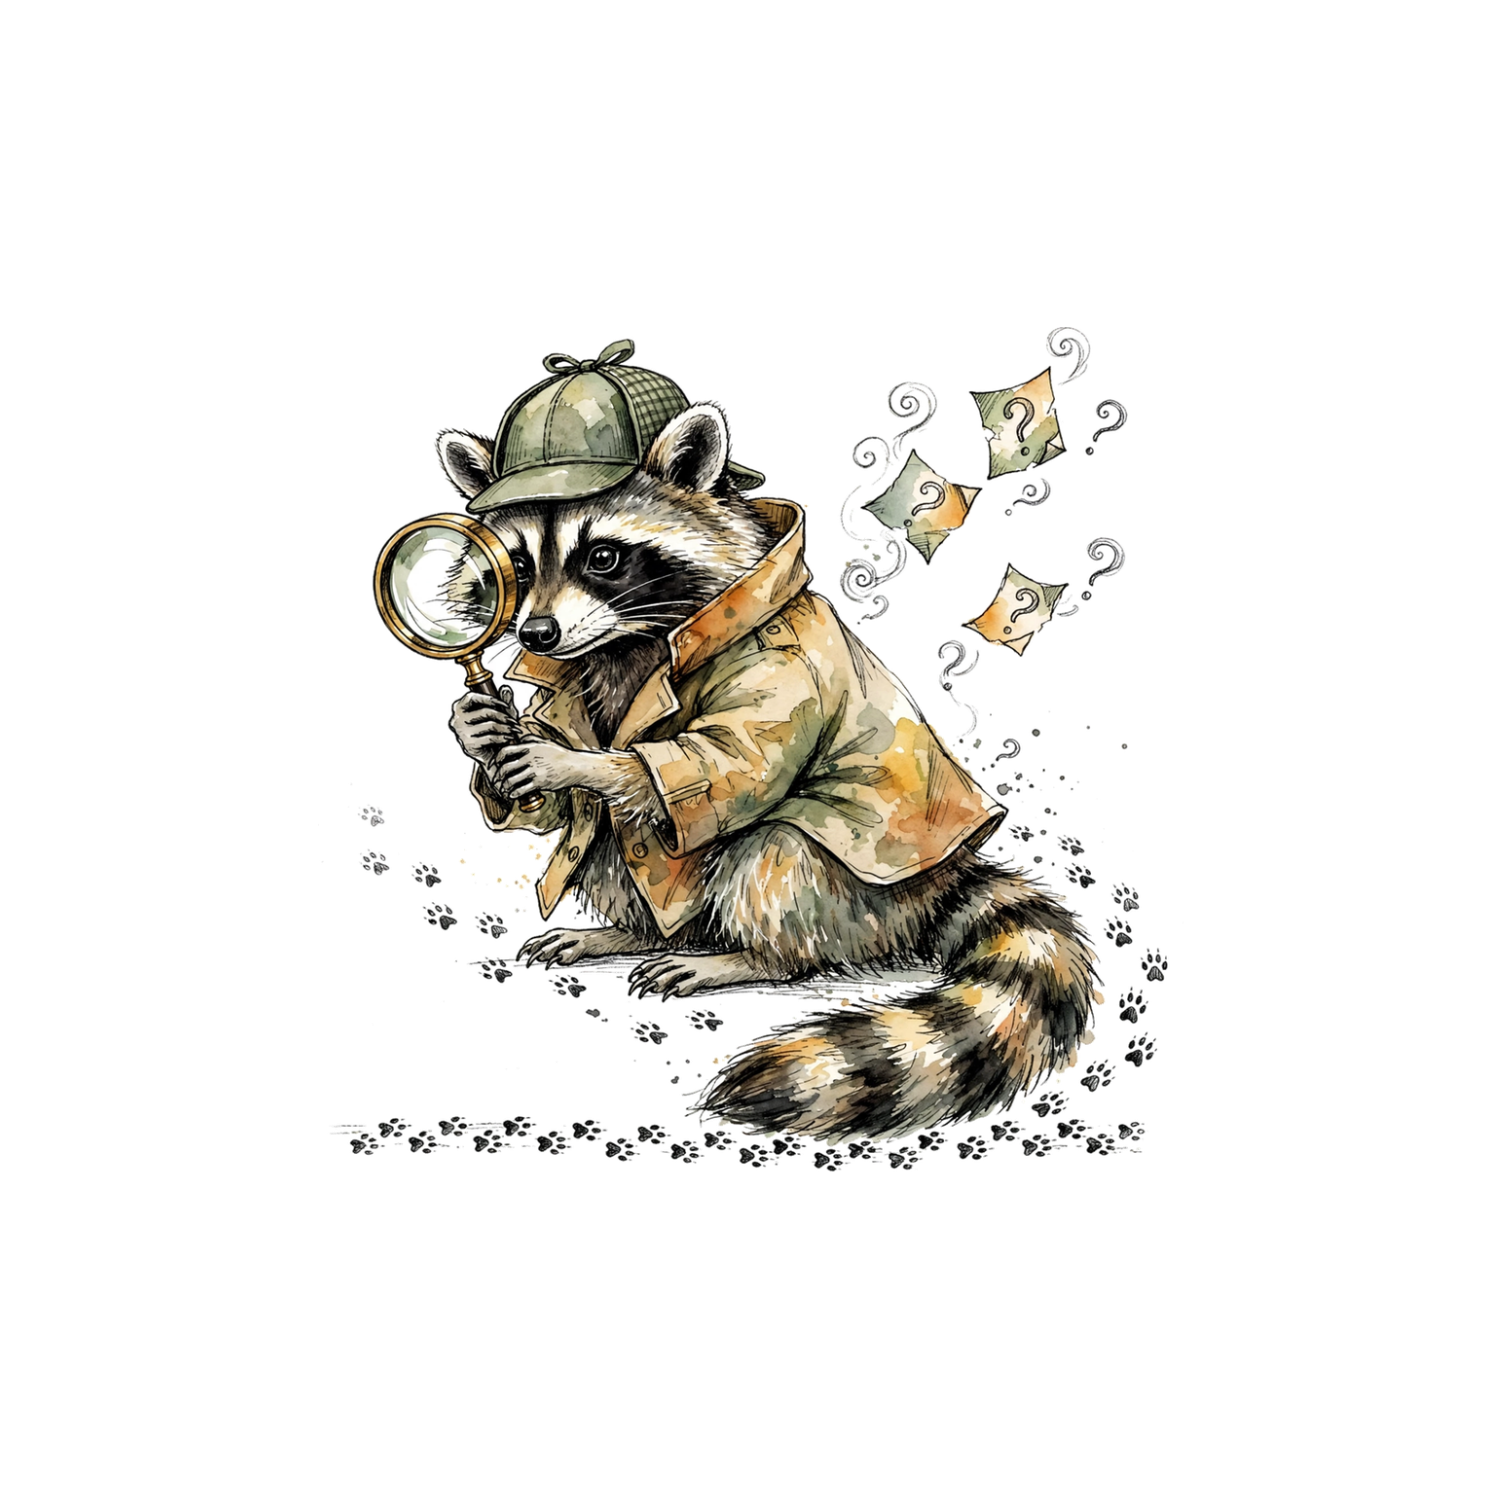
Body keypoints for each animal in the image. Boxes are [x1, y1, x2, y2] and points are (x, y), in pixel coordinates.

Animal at [441, 402, 1105, 1146]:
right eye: (518, 567)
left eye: (603, 557)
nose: (537, 636)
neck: (629, 642)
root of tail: (939, 886)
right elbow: (569, 803)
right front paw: (485, 740)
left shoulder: (780, 662)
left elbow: (731, 765)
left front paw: (575, 761)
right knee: (615, 841)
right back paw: (632, 931)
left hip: (857, 894)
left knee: (780, 851)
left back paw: (750, 956)